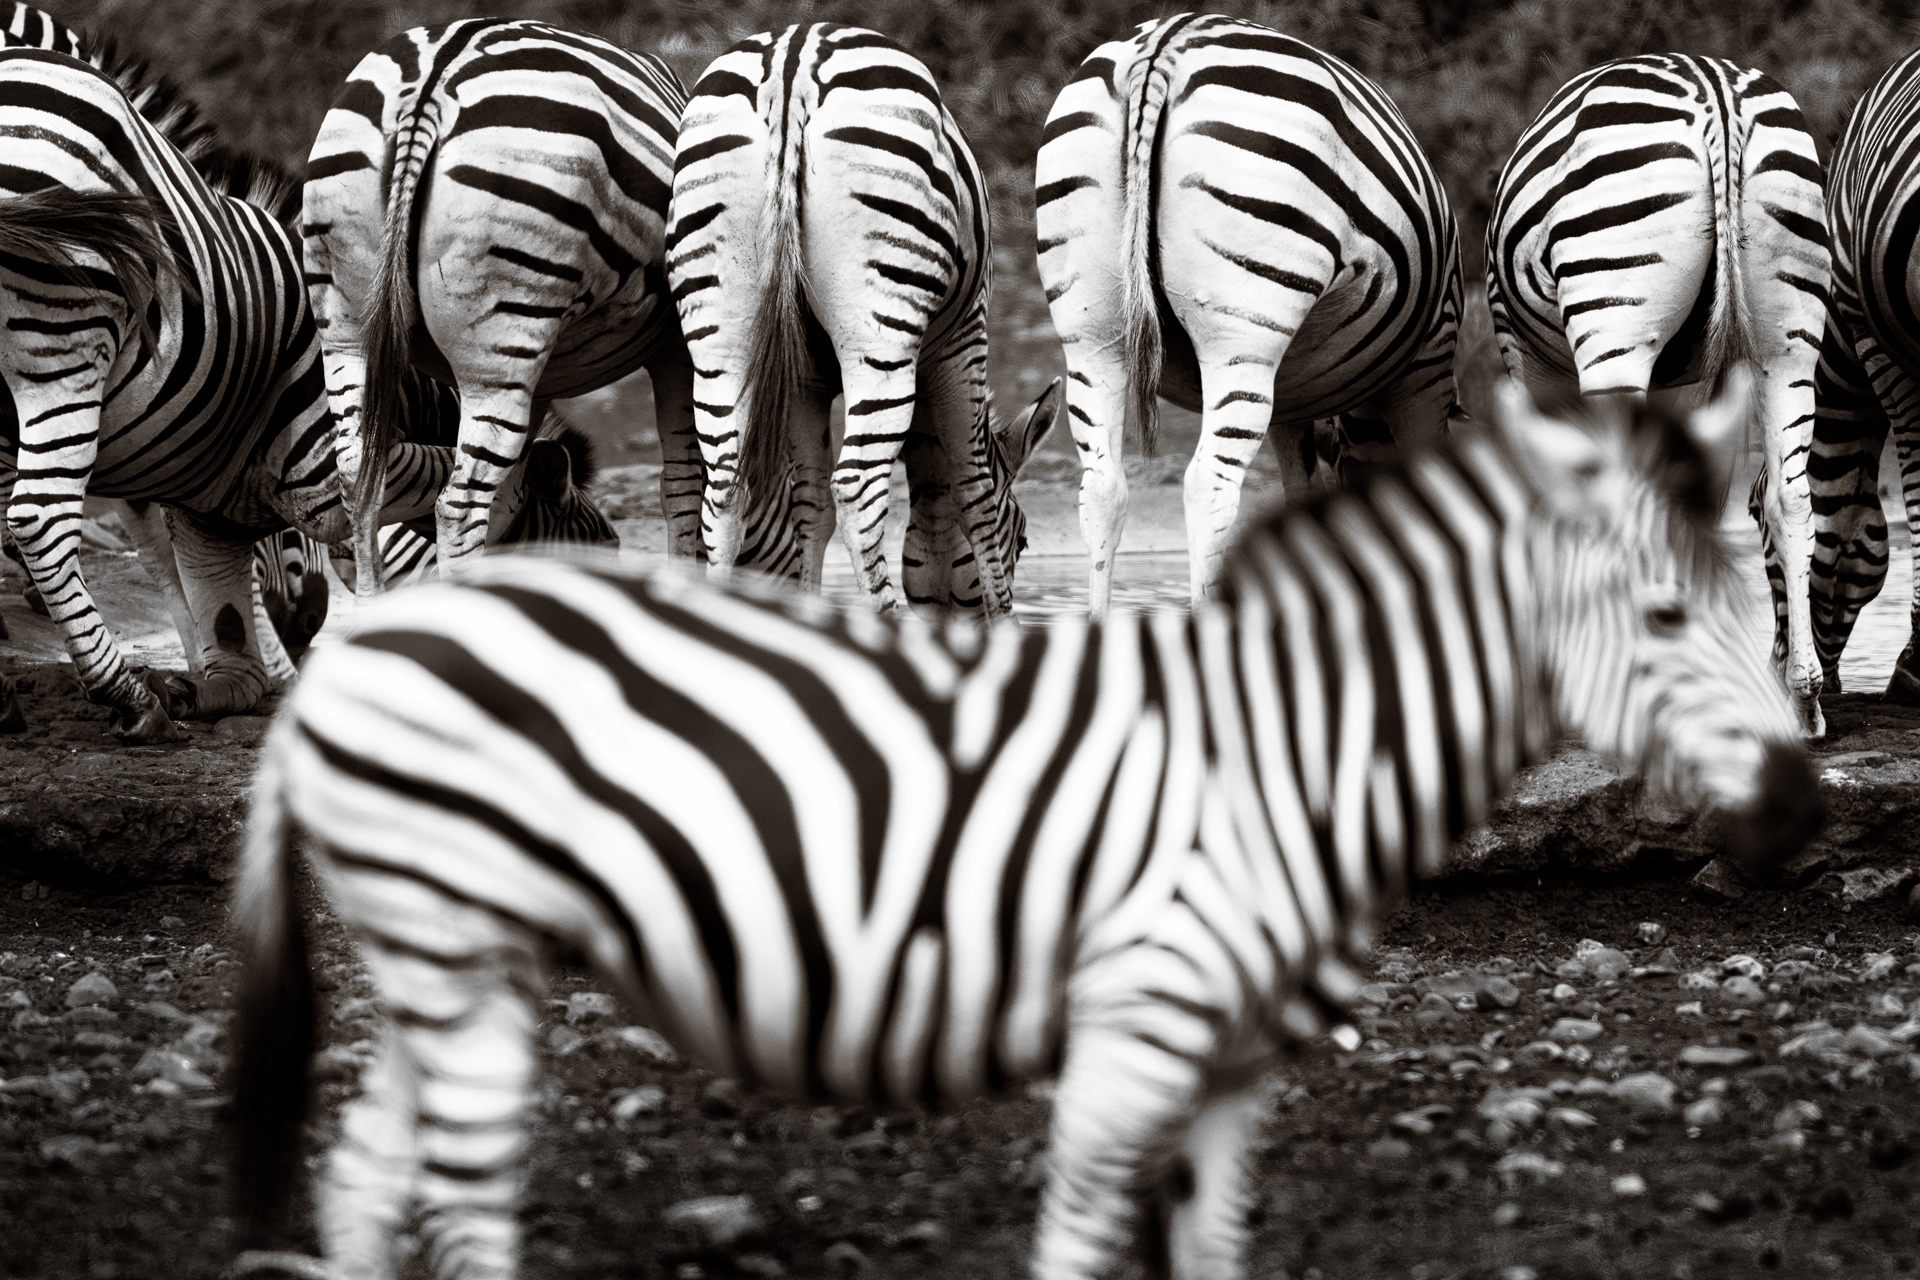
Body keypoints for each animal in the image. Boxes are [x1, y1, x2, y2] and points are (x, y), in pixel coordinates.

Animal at [228, 371, 1820, 1280]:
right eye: (1665, 615)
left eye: (1752, 602)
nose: (1801, 805)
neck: (1291, 741)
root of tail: (362, 656)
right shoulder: (1137, 1030)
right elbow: (1072, 1244)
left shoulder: (1233, 1071)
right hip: (454, 943)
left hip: (455, 957)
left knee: (367, 1182)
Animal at [303, 18, 699, 599]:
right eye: (604, 549)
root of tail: (433, 75)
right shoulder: (679, 345)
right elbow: (691, 486)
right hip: (505, 324)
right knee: (459, 506)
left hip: (347, 328)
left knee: (360, 479)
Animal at [666, 22, 1060, 617]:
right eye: (1025, 539)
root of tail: (794, 60)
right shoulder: (964, 341)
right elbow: (974, 495)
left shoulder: (803, 381)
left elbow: (810, 508)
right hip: (880, 332)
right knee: (856, 490)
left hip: (719, 333)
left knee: (727, 492)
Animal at [1034, 14, 1465, 619]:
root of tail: (1164, 43)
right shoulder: (1428, 365)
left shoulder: (1295, 395)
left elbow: (1301, 497)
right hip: (1243, 327)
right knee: (1208, 487)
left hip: (1092, 333)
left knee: (1102, 489)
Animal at [1486, 53, 1831, 736]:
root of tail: (1715, 86)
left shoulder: (1521, 356)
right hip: (1788, 339)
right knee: (1791, 501)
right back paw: (1803, 696)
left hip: (1614, 322)